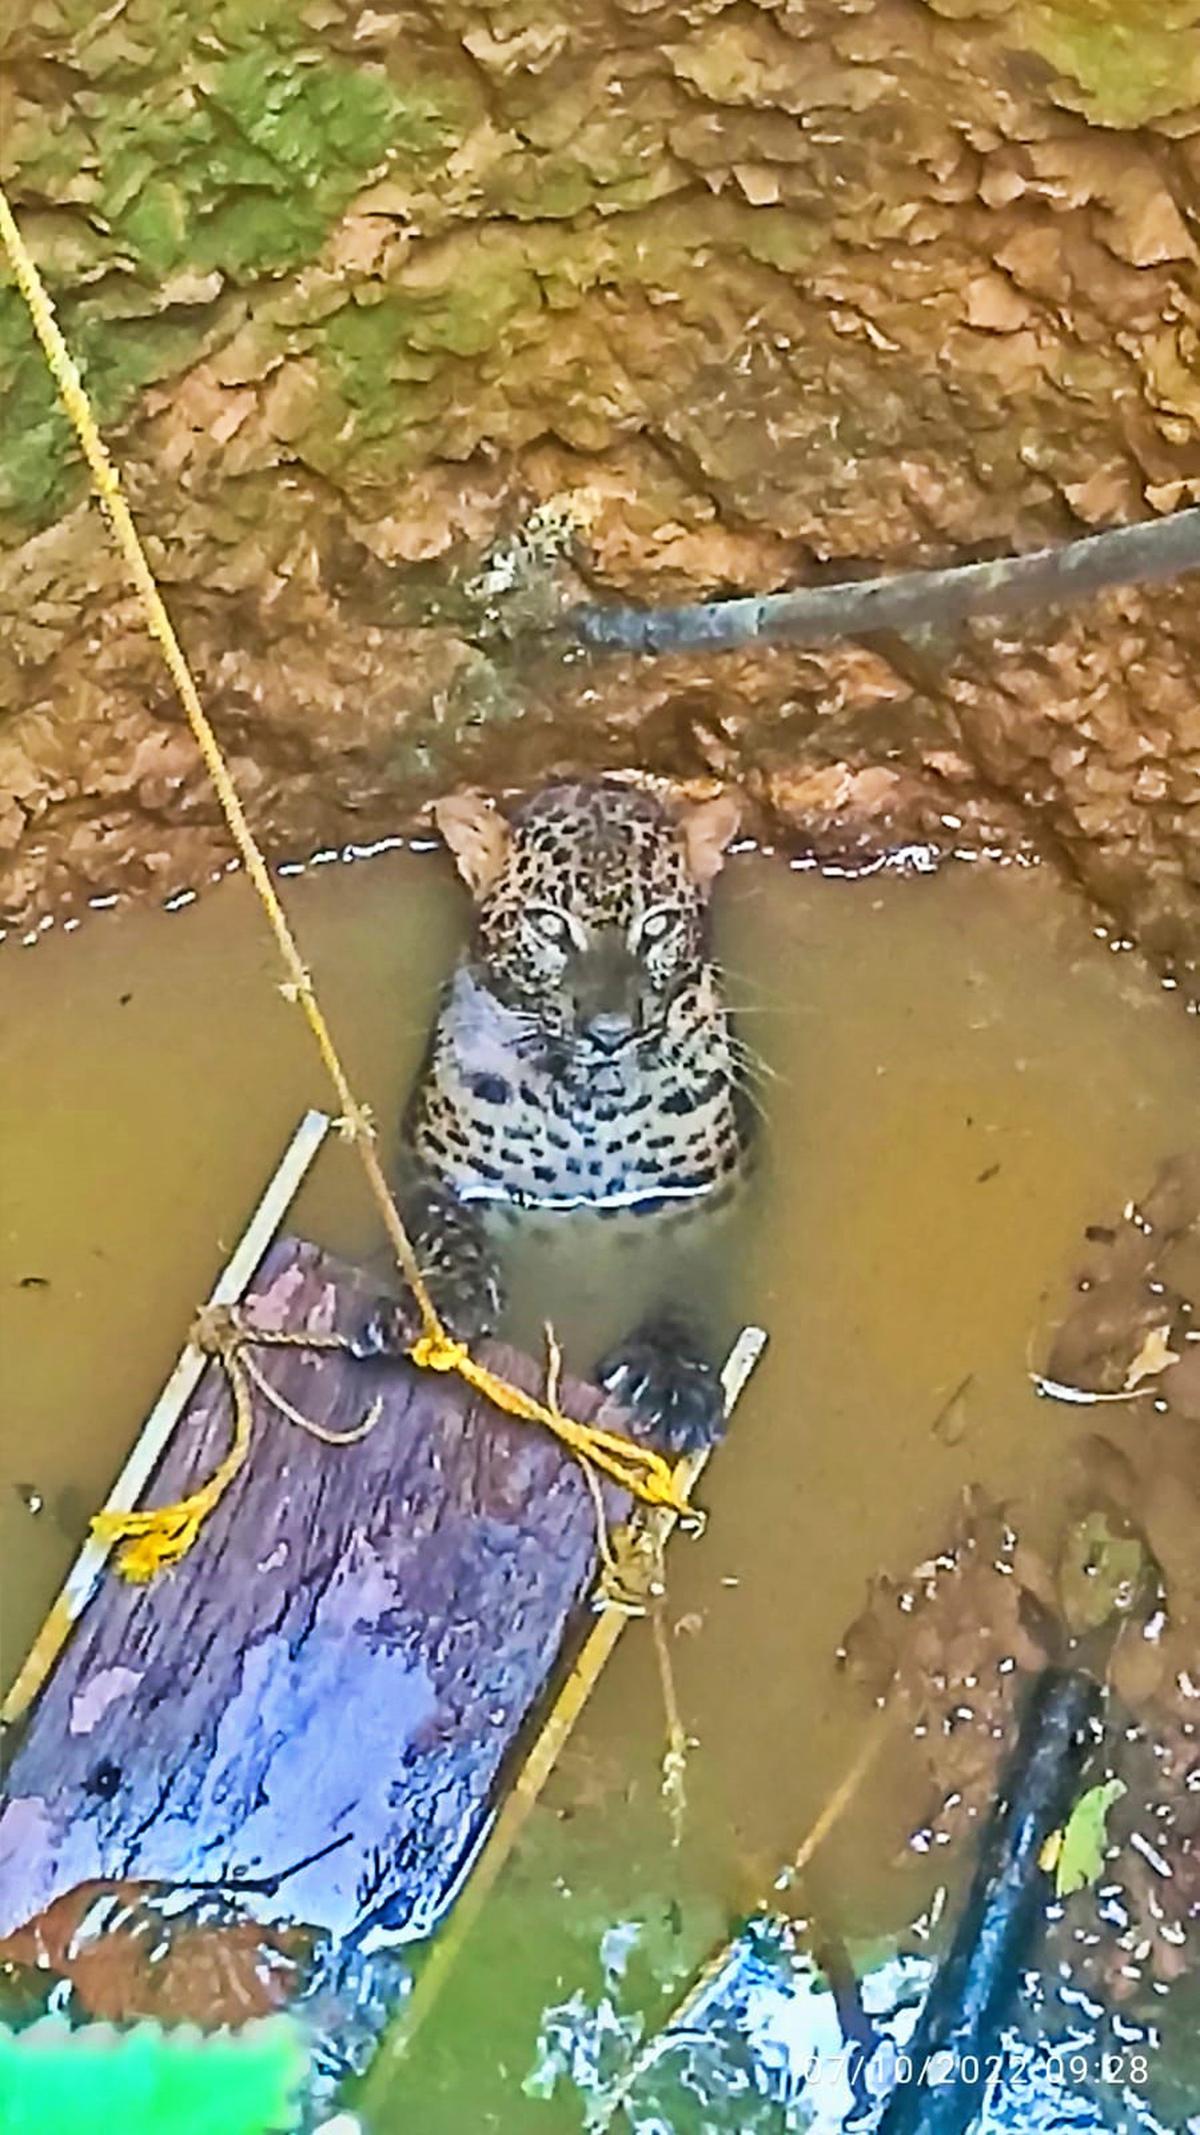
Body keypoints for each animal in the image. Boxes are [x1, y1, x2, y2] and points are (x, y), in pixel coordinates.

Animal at [350, 777, 751, 1460]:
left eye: (658, 925)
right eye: (547, 925)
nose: (611, 1033)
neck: (587, 1111)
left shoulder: (710, 1200)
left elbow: (693, 1278)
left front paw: (674, 1372)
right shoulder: (428, 1168)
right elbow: (446, 1220)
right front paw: (446, 1297)